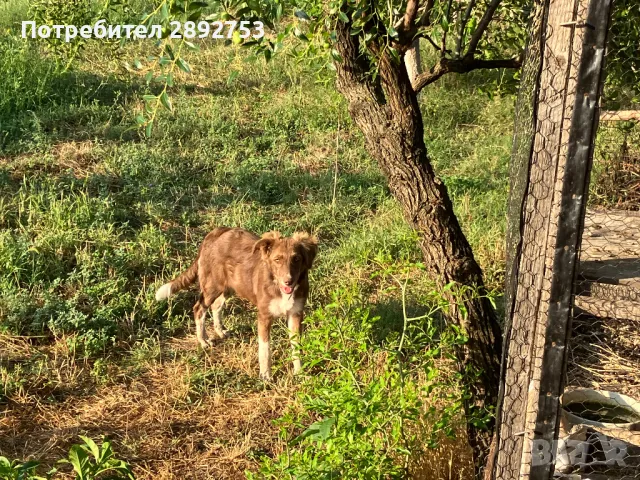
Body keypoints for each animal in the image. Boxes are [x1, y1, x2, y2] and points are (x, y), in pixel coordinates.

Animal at [154, 227, 316, 380]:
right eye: (277, 259)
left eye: (297, 259)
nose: (288, 281)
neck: (278, 287)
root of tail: (217, 231)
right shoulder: (264, 316)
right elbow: (265, 350)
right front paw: (265, 376)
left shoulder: (296, 314)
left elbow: (296, 347)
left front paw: (300, 373)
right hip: (212, 286)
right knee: (199, 308)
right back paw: (203, 341)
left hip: (230, 286)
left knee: (216, 306)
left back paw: (219, 331)